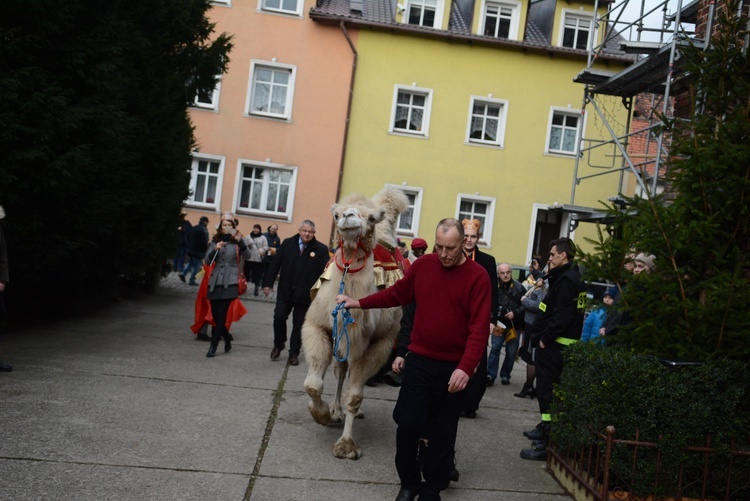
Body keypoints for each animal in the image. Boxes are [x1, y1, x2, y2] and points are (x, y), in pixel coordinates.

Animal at [302, 186, 412, 458]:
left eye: (371, 218)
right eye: (336, 214)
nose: (348, 217)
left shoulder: (380, 342)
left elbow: (355, 395)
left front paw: (346, 445)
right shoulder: (317, 326)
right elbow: (313, 384)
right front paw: (323, 415)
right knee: (341, 369)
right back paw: (335, 410)